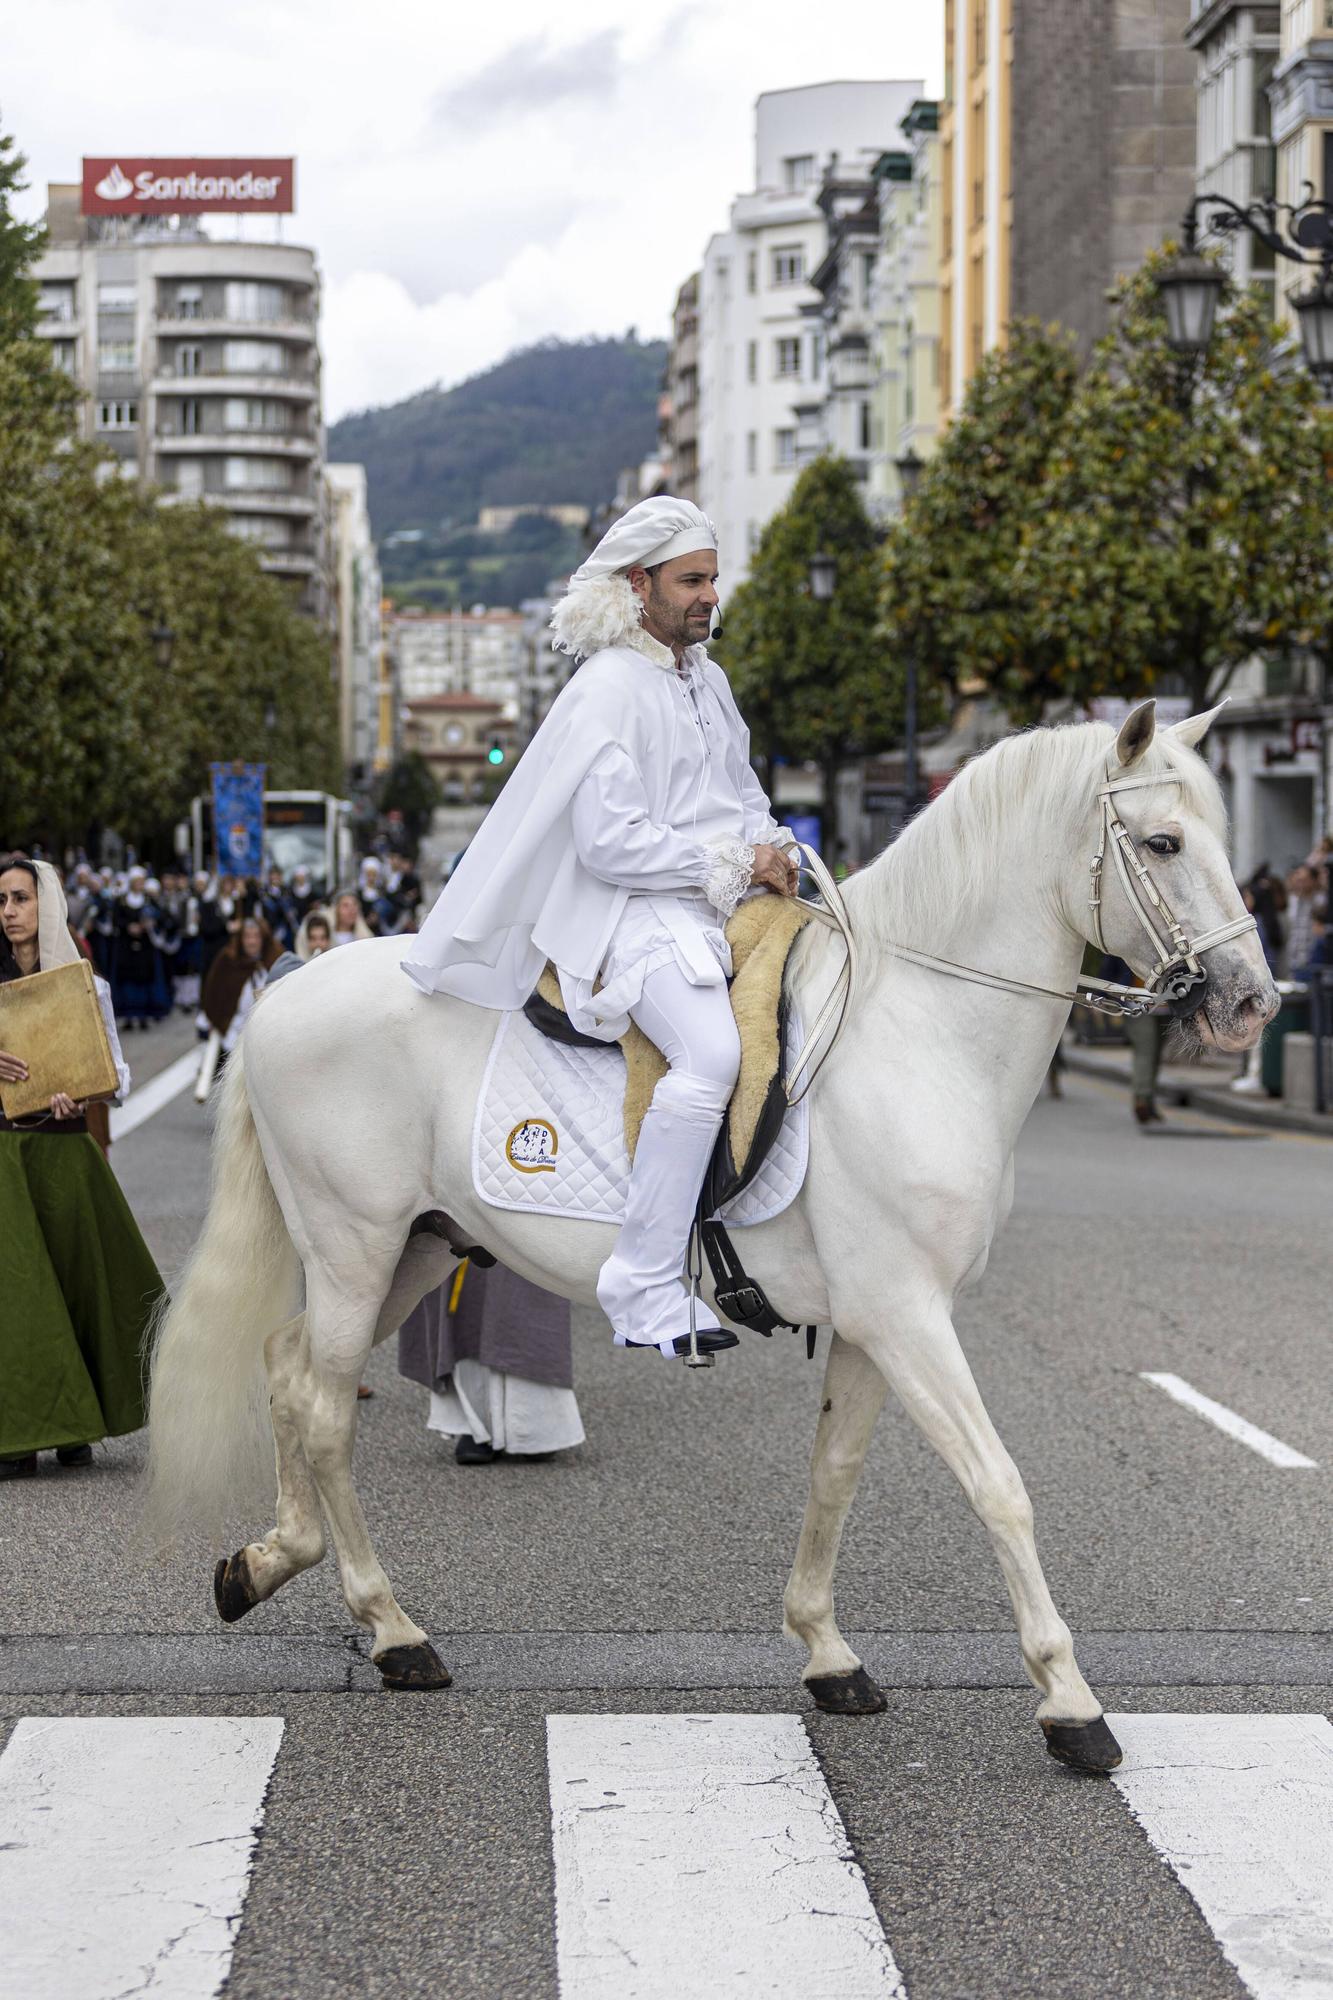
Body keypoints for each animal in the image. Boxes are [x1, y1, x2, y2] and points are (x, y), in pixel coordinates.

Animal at [143, 704, 1264, 1768]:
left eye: (1220, 831)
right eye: (1162, 841)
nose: (1253, 1003)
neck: (921, 1028)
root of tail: (284, 988)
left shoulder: (870, 1321)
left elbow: (833, 1471)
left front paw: (826, 1651)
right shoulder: (907, 1313)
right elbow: (1000, 1487)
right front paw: (1069, 1702)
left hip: (414, 1248)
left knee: (287, 1367)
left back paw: (268, 1562)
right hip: (353, 1245)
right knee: (325, 1409)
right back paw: (391, 1630)